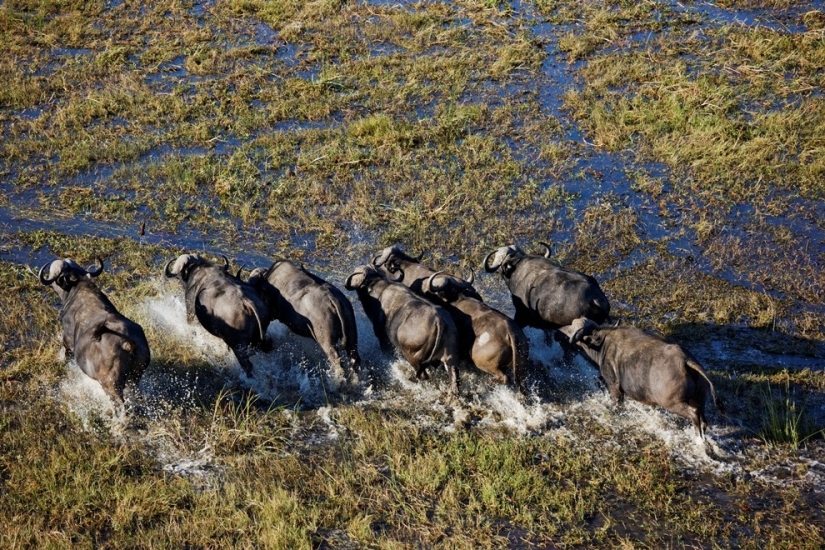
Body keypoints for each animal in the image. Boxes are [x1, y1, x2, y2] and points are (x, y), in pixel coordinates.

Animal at [342, 266, 464, 396]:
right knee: (454, 376)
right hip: (450, 358)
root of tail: (439, 321)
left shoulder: (383, 338)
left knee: (422, 375)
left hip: (414, 358)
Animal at [556, 320, 716, 440]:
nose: (558, 331)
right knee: (703, 420)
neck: (603, 344)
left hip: (672, 403)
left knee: (694, 413)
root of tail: (686, 361)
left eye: (572, 328)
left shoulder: (614, 387)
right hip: (699, 399)